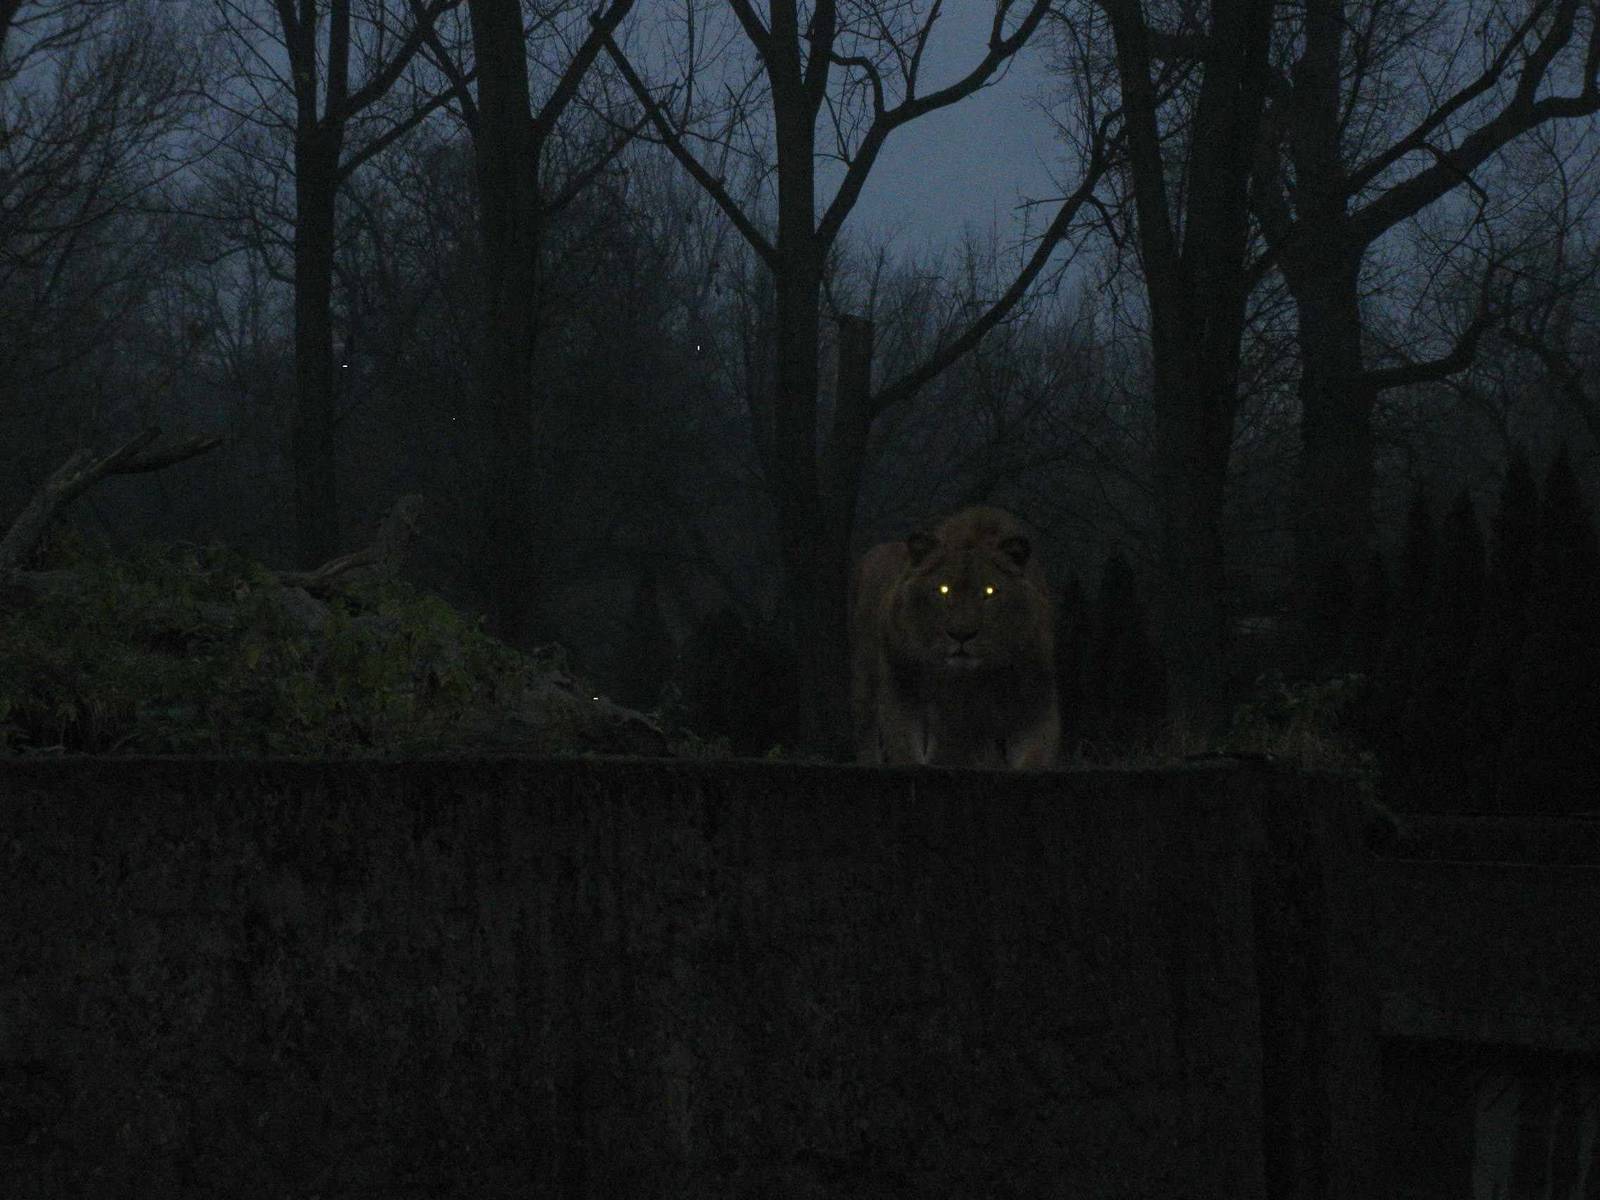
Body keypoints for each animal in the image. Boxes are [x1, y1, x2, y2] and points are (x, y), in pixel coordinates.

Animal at [850, 506, 1060, 768]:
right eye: (944, 590)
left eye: (989, 591)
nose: (962, 635)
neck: (966, 680)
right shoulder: (902, 687)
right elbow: (905, 748)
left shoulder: (1034, 697)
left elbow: (1034, 756)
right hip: (865, 685)